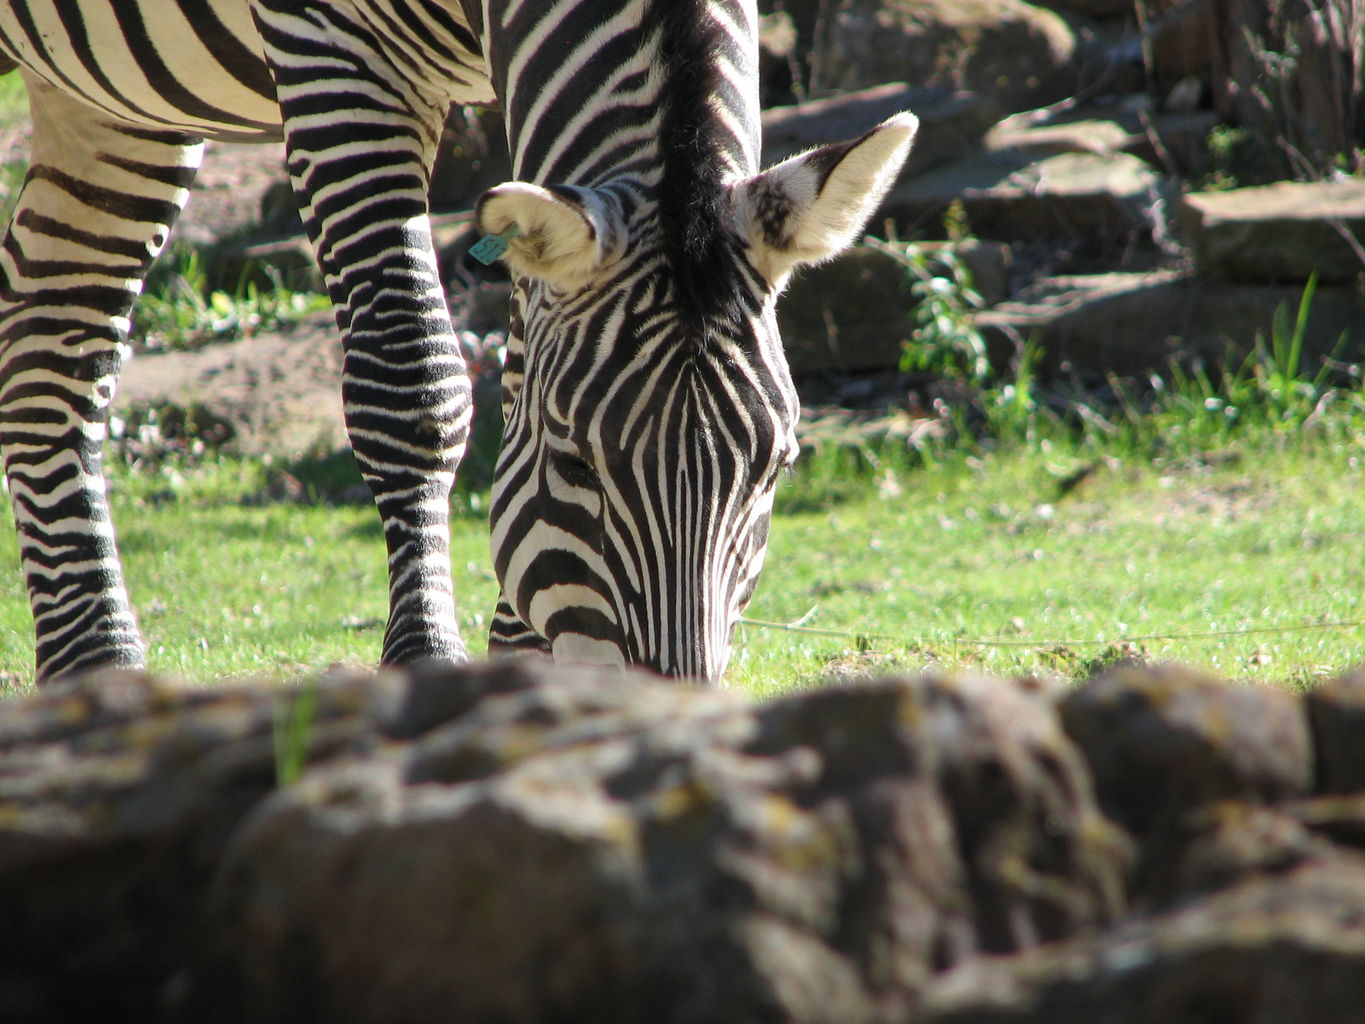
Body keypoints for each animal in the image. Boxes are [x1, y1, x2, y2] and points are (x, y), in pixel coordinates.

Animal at [0, 2, 917, 690]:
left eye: (775, 468)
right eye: (575, 464)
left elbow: (515, 383)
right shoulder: (335, 49)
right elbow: (412, 384)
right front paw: (425, 663)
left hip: (111, 101)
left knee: (54, 339)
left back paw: (97, 678)